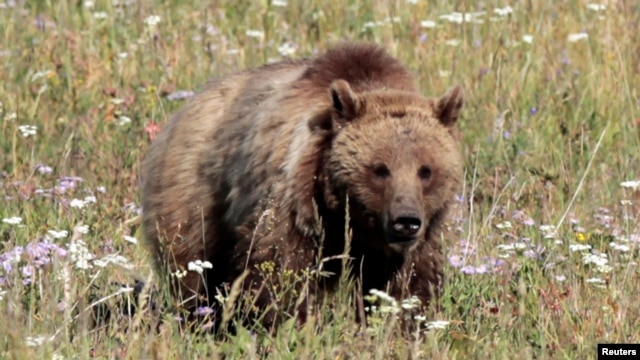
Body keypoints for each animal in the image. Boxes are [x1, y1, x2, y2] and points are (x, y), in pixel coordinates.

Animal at [142, 40, 464, 330]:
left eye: (426, 171)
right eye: (380, 169)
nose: (406, 221)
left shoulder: (417, 239)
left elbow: (409, 282)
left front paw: (401, 325)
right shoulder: (293, 201)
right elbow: (280, 270)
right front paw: (291, 325)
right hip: (195, 194)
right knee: (192, 268)